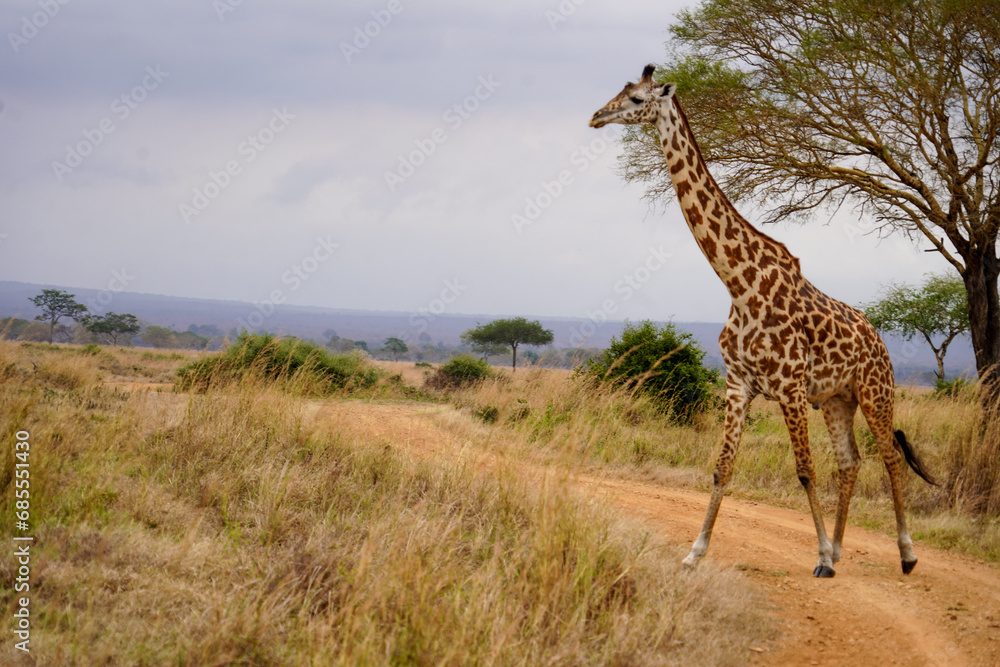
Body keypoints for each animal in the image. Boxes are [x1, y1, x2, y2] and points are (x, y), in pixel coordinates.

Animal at [590, 64, 937, 577]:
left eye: (635, 99)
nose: (596, 116)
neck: (738, 284)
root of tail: (879, 340)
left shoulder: (790, 388)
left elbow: (804, 469)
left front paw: (819, 558)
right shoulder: (738, 384)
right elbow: (722, 467)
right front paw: (695, 552)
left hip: (875, 391)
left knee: (890, 456)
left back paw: (906, 554)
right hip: (836, 399)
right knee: (850, 462)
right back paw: (840, 548)